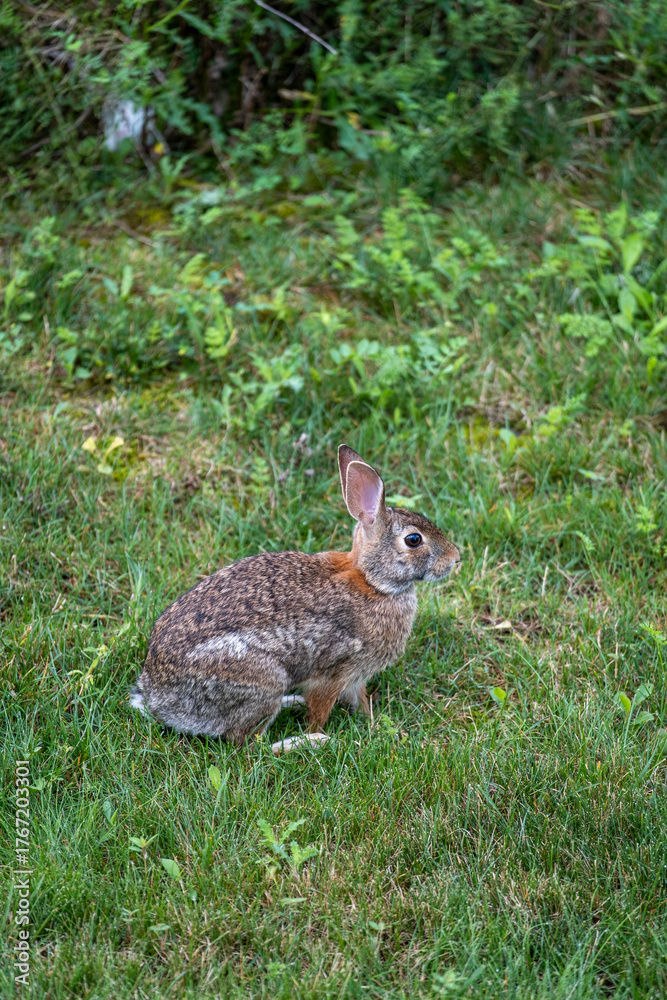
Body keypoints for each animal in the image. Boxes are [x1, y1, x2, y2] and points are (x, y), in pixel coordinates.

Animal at [131, 445, 460, 742]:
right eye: (414, 540)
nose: (456, 558)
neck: (373, 582)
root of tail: (158, 699)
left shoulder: (355, 677)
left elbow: (361, 701)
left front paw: (377, 726)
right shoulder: (335, 673)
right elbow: (320, 710)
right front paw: (322, 732)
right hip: (264, 680)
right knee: (249, 744)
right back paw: (306, 741)